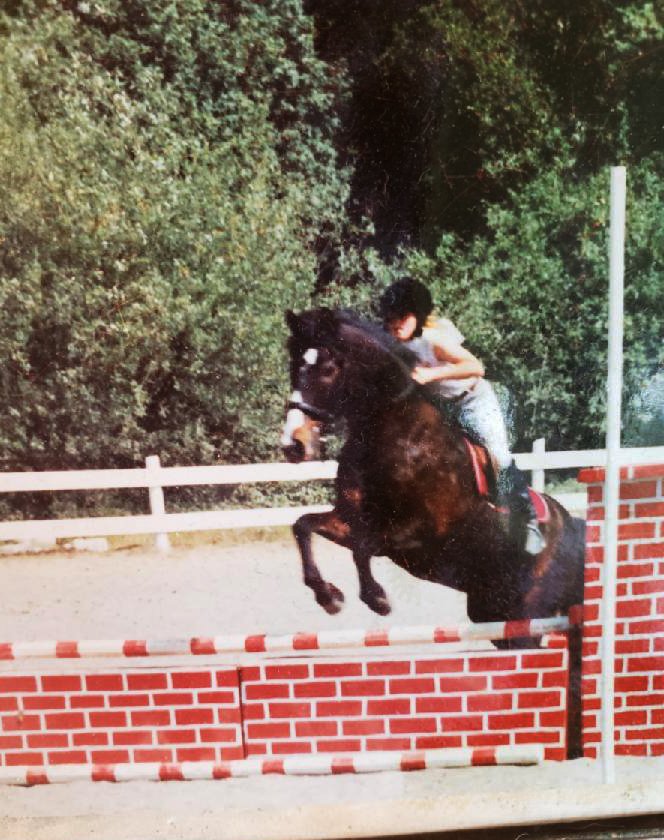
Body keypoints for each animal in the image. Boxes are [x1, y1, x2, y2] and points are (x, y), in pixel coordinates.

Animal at [282, 306, 588, 756]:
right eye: (293, 366)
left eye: (328, 369)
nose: (293, 445)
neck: (393, 431)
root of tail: (575, 531)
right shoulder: (351, 518)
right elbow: (304, 527)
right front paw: (329, 597)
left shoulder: (422, 535)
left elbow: (364, 548)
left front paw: (376, 598)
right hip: (494, 616)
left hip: (527, 622)